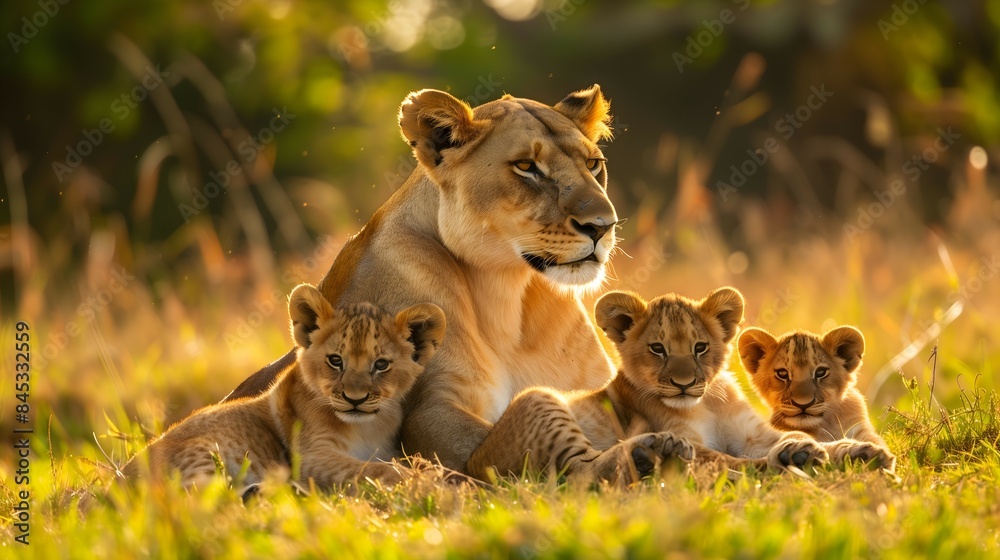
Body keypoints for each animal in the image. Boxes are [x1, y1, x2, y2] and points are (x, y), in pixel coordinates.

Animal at [124, 283, 446, 492]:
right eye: (335, 360)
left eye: (381, 364)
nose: (354, 399)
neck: (367, 427)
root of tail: (119, 478)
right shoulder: (312, 457)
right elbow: (372, 468)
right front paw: (429, 482)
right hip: (200, 456)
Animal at [224, 85, 679, 478]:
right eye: (526, 167)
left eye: (593, 164)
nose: (603, 225)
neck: (510, 293)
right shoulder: (430, 410)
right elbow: (509, 432)